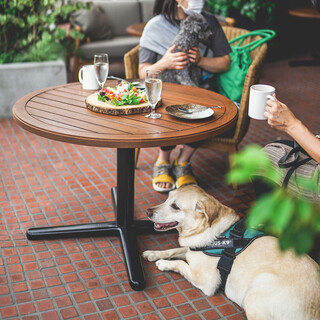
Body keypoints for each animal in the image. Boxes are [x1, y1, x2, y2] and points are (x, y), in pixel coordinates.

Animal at [142, 185, 320, 320]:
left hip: (255, 294)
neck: (215, 233)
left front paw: (163, 264)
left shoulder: (206, 281)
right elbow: (174, 250)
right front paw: (153, 254)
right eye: (167, 198)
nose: (147, 212)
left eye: (175, 206)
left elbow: (180, 263)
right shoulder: (191, 248)